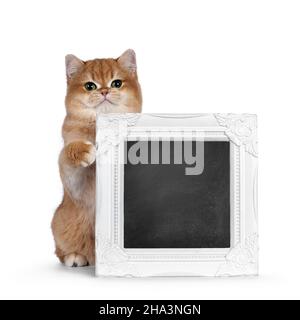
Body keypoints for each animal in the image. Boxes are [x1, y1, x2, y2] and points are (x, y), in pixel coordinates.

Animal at [51, 48, 143, 266]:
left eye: (116, 83)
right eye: (89, 86)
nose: (104, 91)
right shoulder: (77, 186)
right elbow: (67, 154)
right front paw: (83, 150)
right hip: (60, 221)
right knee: (61, 250)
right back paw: (76, 257)